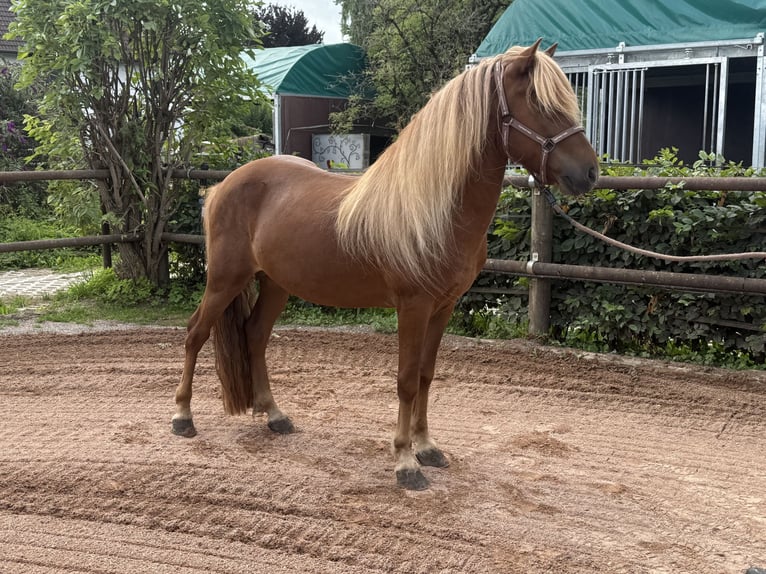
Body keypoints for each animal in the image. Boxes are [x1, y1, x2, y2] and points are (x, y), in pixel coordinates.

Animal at [171, 39, 599, 490]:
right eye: (538, 103)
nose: (590, 172)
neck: (436, 208)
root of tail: (223, 184)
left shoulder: (443, 307)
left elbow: (426, 375)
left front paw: (427, 447)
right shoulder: (413, 307)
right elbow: (407, 380)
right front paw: (405, 463)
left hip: (275, 283)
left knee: (254, 335)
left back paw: (274, 415)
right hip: (225, 279)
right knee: (195, 333)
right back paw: (182, 417)